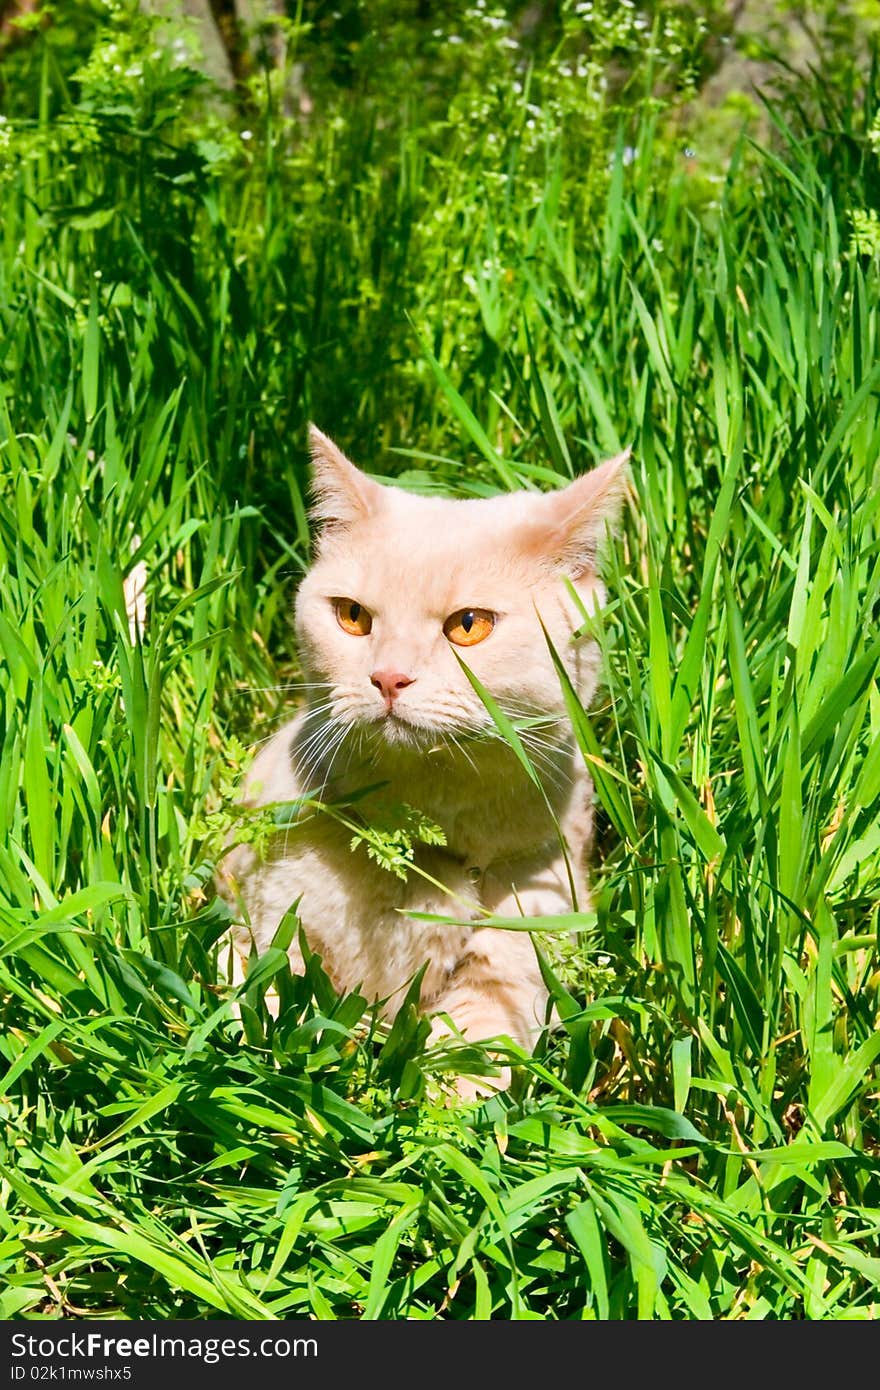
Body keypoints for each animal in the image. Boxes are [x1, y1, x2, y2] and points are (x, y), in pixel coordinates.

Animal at [221, 428, 631, 1089]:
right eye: (352, 616)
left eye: (468, 626)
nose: (388, 677)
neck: (421, 839)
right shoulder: (253, 931)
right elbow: (266, 1009)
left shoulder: (522, 950)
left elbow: (473, 1058)